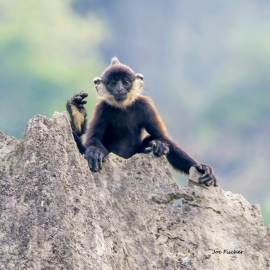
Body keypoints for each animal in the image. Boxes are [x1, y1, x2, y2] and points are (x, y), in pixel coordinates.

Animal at [67, 58, 217, 187]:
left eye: (125, 82)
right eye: (112, 83)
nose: (120, 89)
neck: (122, 107)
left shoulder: (144, 105)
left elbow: (162, 136)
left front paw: (201, 167)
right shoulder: (102, 108)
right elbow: (93, 139)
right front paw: (95, 154)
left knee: (153, 140)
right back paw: (77, 114)